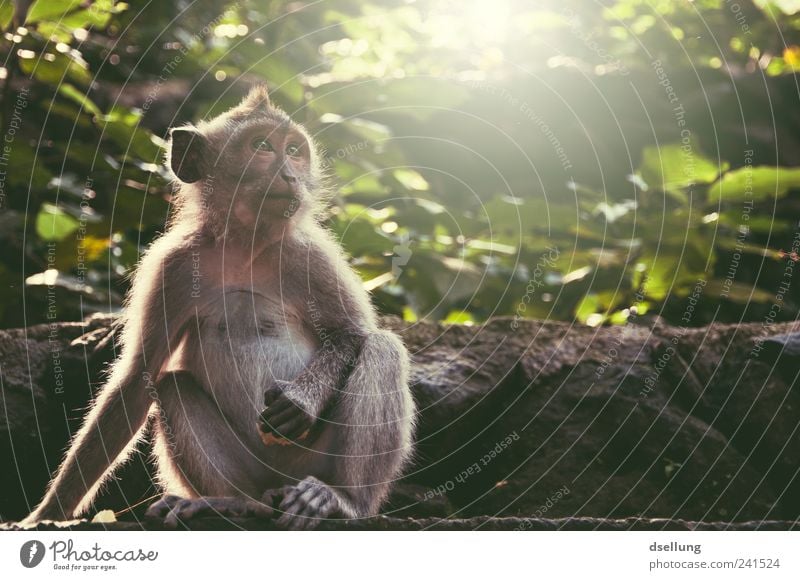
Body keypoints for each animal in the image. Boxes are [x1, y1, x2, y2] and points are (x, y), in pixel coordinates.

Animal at [21, 85, 416, 532]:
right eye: (261, 146)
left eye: (294, 150)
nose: (289, 174)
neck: (245, 246)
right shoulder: (172, 267)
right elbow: (139, 377)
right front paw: (45, 514)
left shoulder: (309, 256)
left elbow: (352, 335)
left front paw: (301, 400)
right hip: (255, 473)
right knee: (172, 386)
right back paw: (232, 504)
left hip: (313, 461)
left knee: (383, 349)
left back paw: (342, 501)